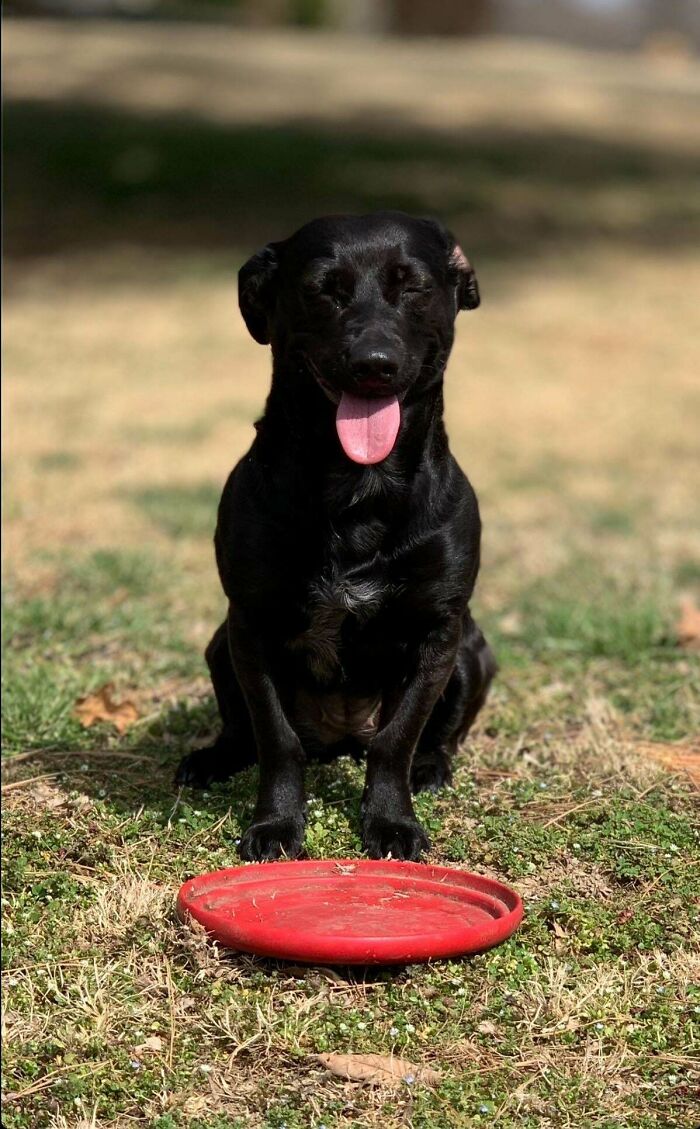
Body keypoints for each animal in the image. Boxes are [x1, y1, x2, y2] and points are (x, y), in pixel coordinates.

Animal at [180, 212, 496, 858]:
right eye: (323, 289)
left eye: (411, 285)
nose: (373, 362)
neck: (360, 490)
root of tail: (340, 737)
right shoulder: (251, 628)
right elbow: (276, 740)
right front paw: (276, 825)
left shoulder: (437, 633)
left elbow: (397, 739)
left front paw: (391, 821)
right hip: (220, 646)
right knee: (240, 729)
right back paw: (212, 760)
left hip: (473, 654)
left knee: (435, 735)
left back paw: (431, 767)